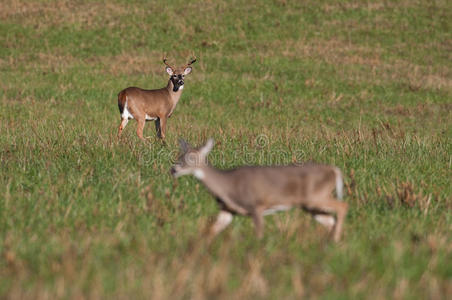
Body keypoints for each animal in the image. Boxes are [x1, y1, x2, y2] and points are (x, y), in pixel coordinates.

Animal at [170, 139, 350, 243]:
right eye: (179, 156)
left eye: (191, 158)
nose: (173, 169)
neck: (228, 185)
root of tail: (335, 170)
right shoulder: (228, 211)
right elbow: (211, 230)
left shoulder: (255, 205)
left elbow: (259, 234)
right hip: (310, 205)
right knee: (330, 220)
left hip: (315, 196)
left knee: (343, 206)